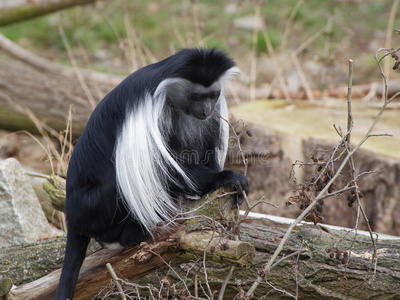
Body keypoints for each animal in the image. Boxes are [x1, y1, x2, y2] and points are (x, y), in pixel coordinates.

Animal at [56, 48, 250, 298]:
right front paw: (226, 177)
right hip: (91, 206)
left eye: (213, 95)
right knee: (122, 182)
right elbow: (163, 169)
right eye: (197, 97)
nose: (205, 110)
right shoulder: (152, 112)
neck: (172, 97)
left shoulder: (211, 116)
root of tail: (71, 214)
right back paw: (128, 235)